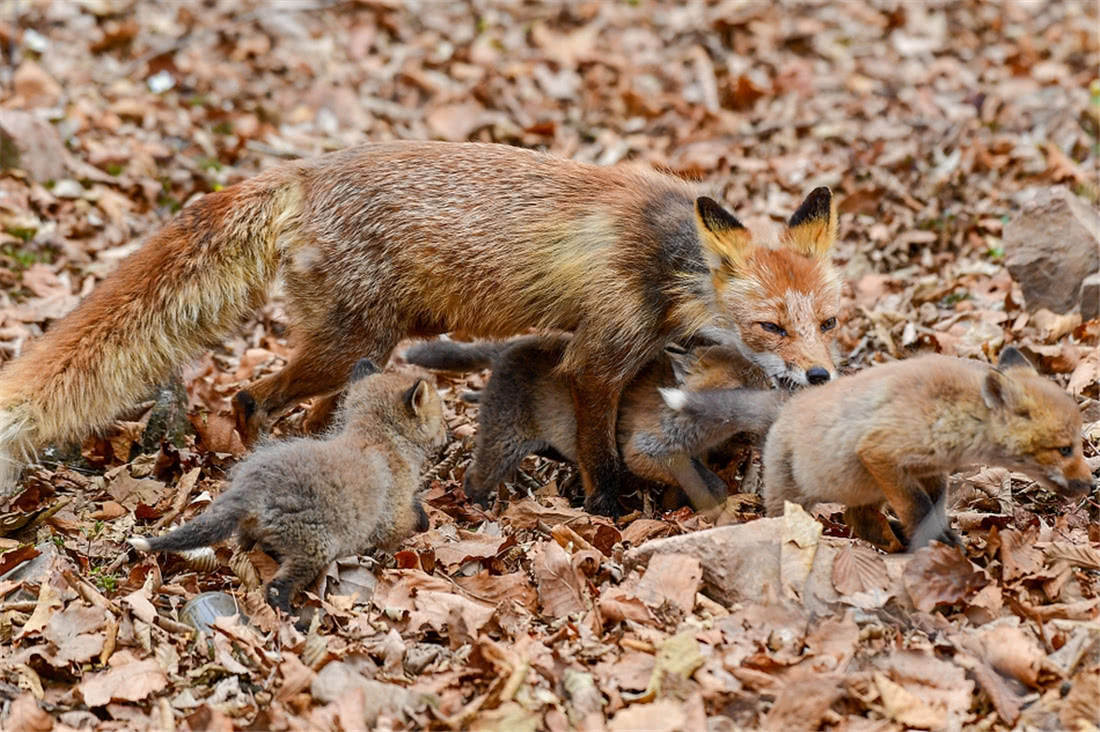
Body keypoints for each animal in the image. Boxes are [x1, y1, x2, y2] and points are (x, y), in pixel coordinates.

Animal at [0, 139, 836, 510]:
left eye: (826, 320)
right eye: (770, 326)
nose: (822, 374)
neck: (667, 264)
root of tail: (307, 170)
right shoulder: (597, 357)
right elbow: (601, 445)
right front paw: (606, 502)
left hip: (361, 346)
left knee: (316, 412)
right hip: (348, 344)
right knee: (249, 397)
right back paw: (259, 452)